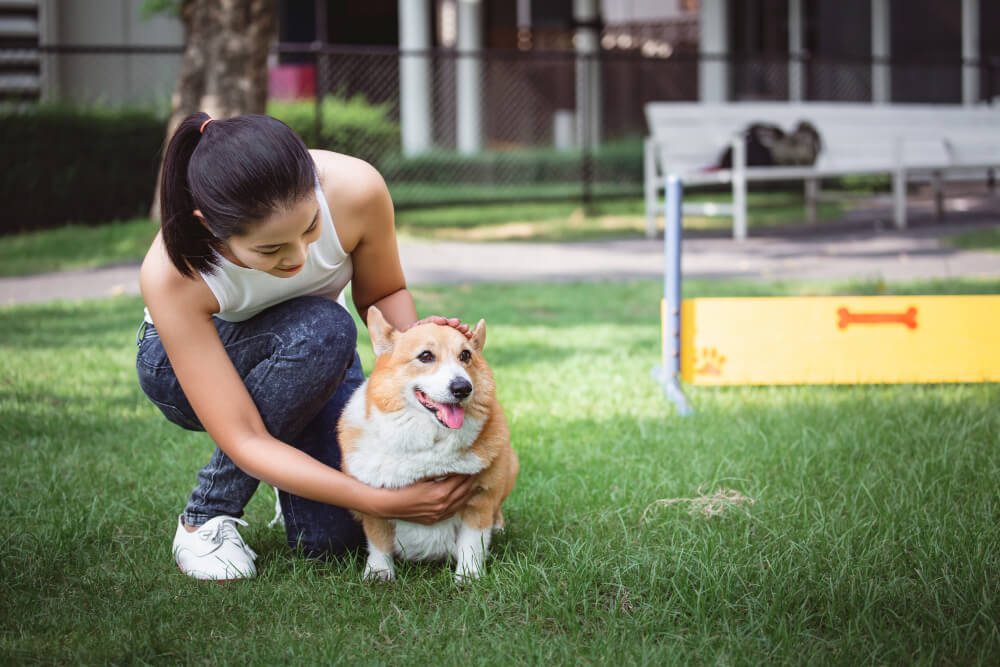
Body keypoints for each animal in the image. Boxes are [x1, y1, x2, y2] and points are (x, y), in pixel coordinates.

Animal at [340, 308, 520, 584]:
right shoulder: (373, 503)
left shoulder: (480, 499)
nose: (463, 388)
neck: (431, 444)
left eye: (465, 355)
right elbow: (378, 542)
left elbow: (472, 543)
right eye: (425, 356)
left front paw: (468, 576)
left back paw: (498, 526)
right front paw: (379, 572)